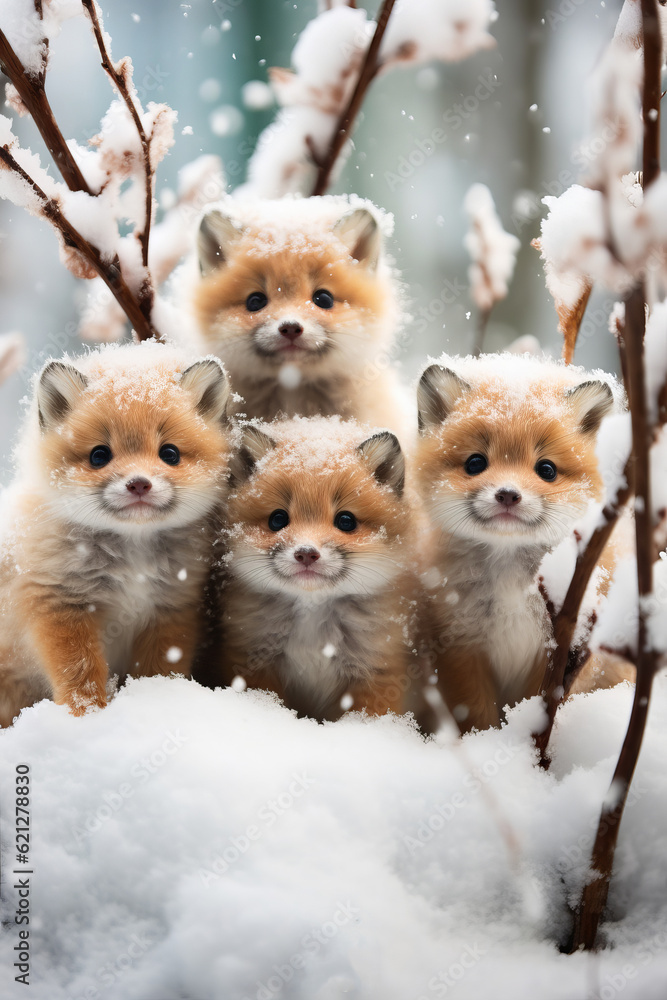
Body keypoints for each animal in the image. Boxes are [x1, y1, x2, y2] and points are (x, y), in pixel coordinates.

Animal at [0, 342, 232, 726]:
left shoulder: (170, 609)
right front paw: (88, 718)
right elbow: (80, 676)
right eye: (99, 455)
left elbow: (155, 672)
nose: (139, 483)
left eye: (170, 454)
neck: (132, 564)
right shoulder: (59, 604)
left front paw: (155, 703)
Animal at [220, 416, 419, 721]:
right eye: (278, 519)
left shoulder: (376, 674)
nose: (306, 554)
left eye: (346, 521)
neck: (312, 624)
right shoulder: (255, 664)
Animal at [414, 353, 627, 733]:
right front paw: (491, 745)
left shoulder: (556, 652)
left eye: (546, 469)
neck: (512, 584)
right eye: (475, 463)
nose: (508, 494)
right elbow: (479, 718)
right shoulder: (461, 648)